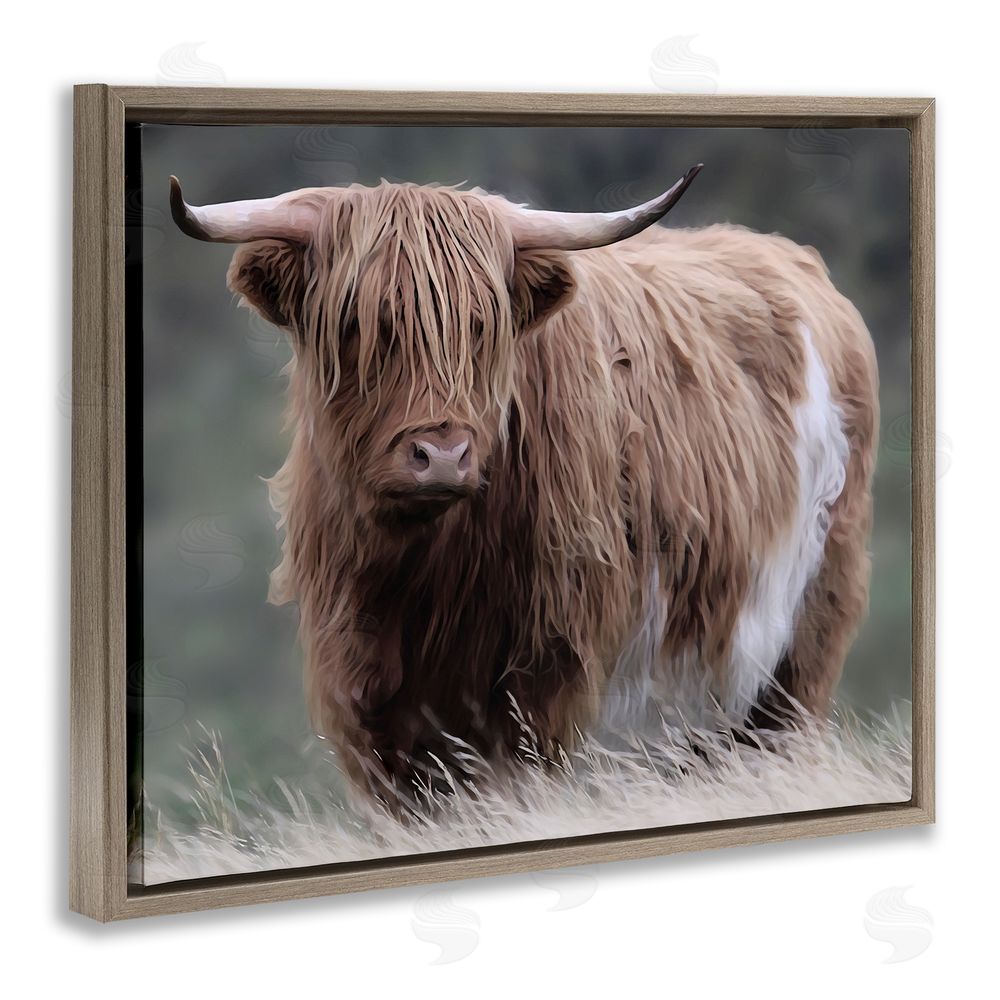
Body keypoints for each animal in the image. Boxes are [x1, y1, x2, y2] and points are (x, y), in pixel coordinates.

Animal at [169, 167, 878, 803]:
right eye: (357, 325)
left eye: (483, 325)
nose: (442, 455)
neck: (421, 577)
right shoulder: (365, 697)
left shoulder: (544, 678)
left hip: (800, 636)